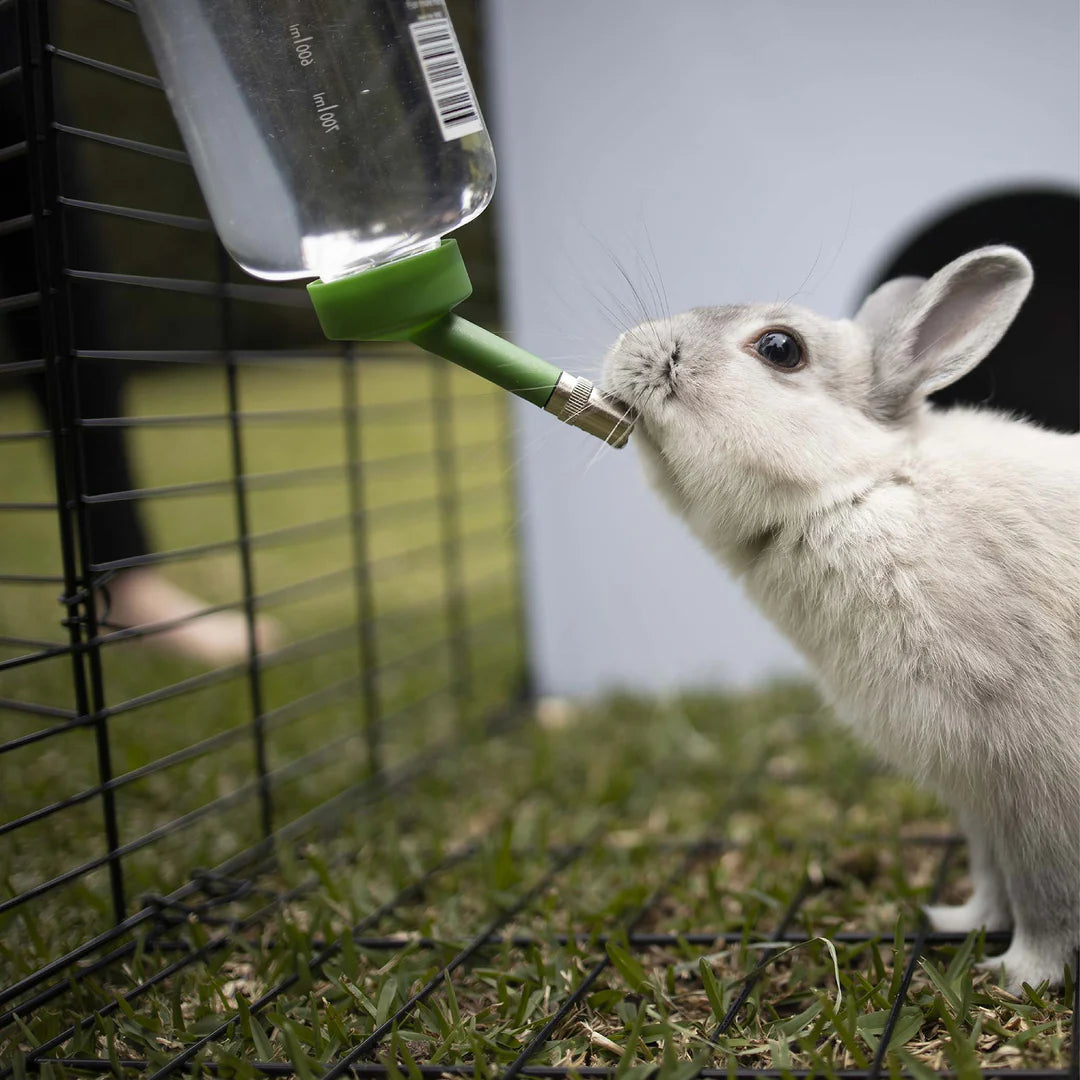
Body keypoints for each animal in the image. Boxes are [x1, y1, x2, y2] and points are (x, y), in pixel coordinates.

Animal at [601, 246, 1080, 993]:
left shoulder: (1038, 780)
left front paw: (1023, 973)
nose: (628, 349)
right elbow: (992, 873)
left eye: (781, 348)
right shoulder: (980, 796)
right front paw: (959, 921)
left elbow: (1044, 896)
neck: (855, 490)